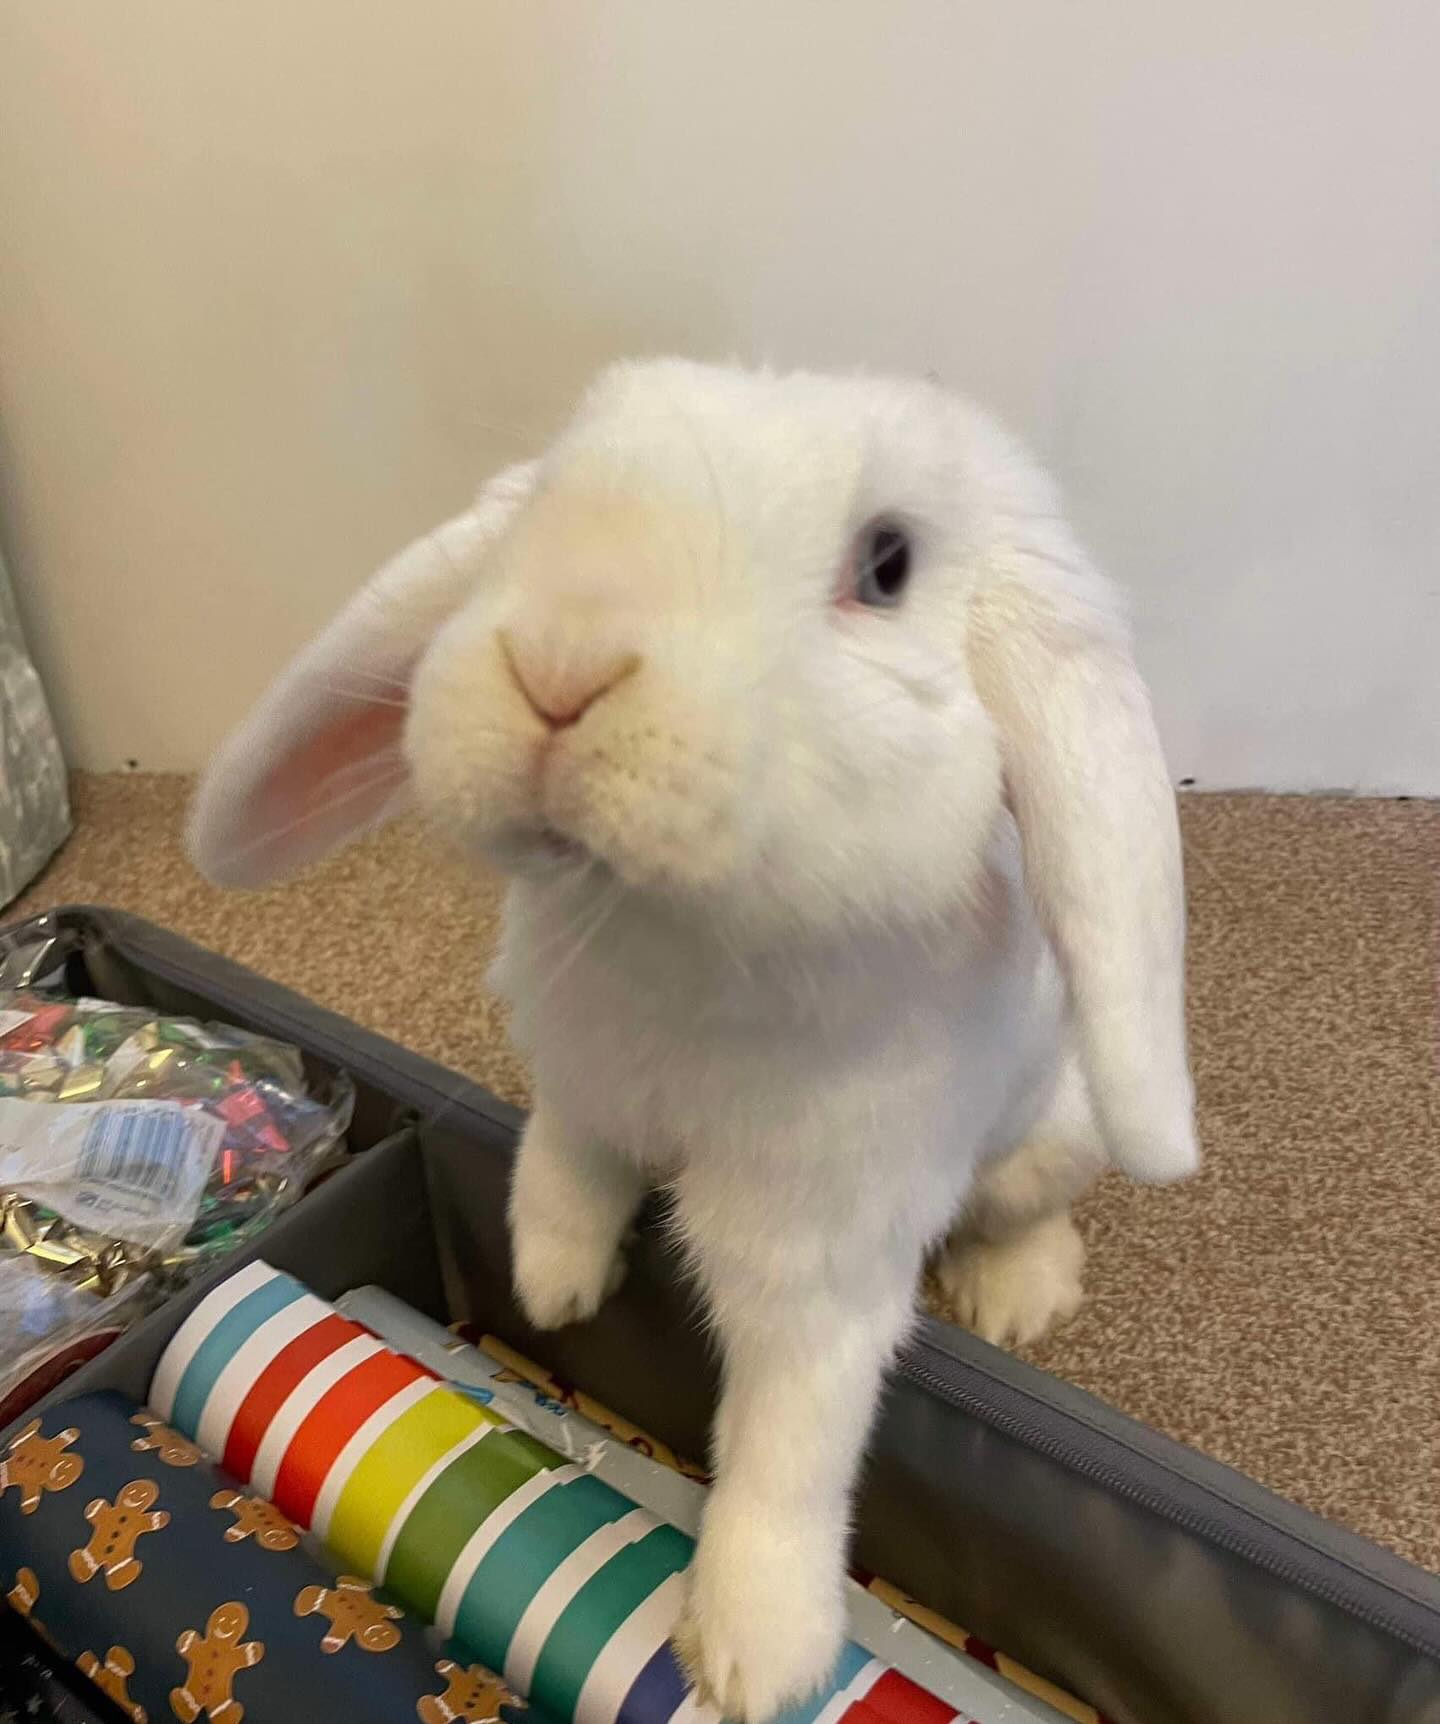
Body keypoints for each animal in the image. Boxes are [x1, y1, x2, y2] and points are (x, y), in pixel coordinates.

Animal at [188, 359, 1196, 1724]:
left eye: (887, 564)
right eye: (546, 494)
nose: (558, 665)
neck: (670, 933)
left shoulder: (815, 1241)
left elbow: (786, 1437)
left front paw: (753, 1656)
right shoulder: (580, 1085)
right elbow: (565, 1174)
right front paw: (558, 1283)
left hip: (1052, 1131)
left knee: (1021, 1209)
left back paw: (1014, 1300)